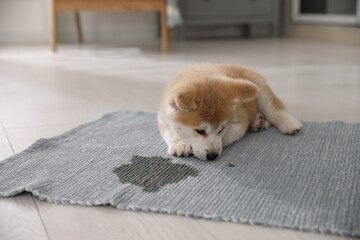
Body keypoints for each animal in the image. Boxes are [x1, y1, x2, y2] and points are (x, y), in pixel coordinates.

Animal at [159, 64, 302, 160]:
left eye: (221, 129)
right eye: (200, 131)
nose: (213, 155)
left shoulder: (241, 121)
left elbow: (228, 136)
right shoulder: (162, 119)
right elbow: (170, 132)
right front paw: (179, 144)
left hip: (261, 90)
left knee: (275, 109)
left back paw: (288, 123)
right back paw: (257, 122)